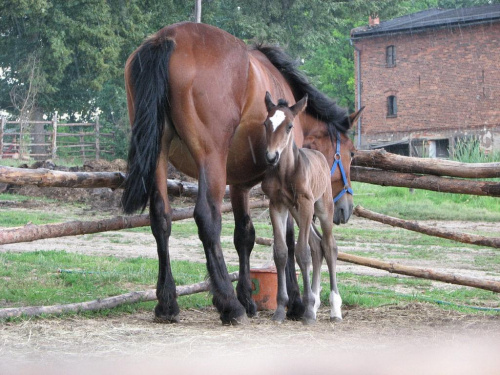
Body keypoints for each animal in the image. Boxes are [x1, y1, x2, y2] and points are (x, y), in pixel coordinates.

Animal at [260, 92, 342, 324]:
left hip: (322, 207)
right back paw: (315, 302)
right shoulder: (277, 204)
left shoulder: (305, 203)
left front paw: (308, 313)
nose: (271, 157)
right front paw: (281, 309)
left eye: (289, 126)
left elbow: (302, 252)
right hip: (296, 211)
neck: (286, 172)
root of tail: (320, 156)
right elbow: (281, 252)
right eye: (266, 123)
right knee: (317, 245)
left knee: (329, 246)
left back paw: (334, 309)